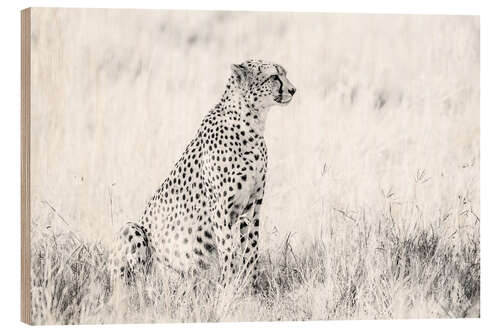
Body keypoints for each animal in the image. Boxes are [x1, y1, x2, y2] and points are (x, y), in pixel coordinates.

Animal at [110, 60, 296, 288]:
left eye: (284, 74)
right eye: (274, 76)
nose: (293, 90)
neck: (252, 123)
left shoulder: (253, 206)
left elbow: (250, 248)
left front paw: (250, 285)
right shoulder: (221, 207)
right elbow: (228, 250)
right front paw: (227, 287)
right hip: (132, 230)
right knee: (136, 283)